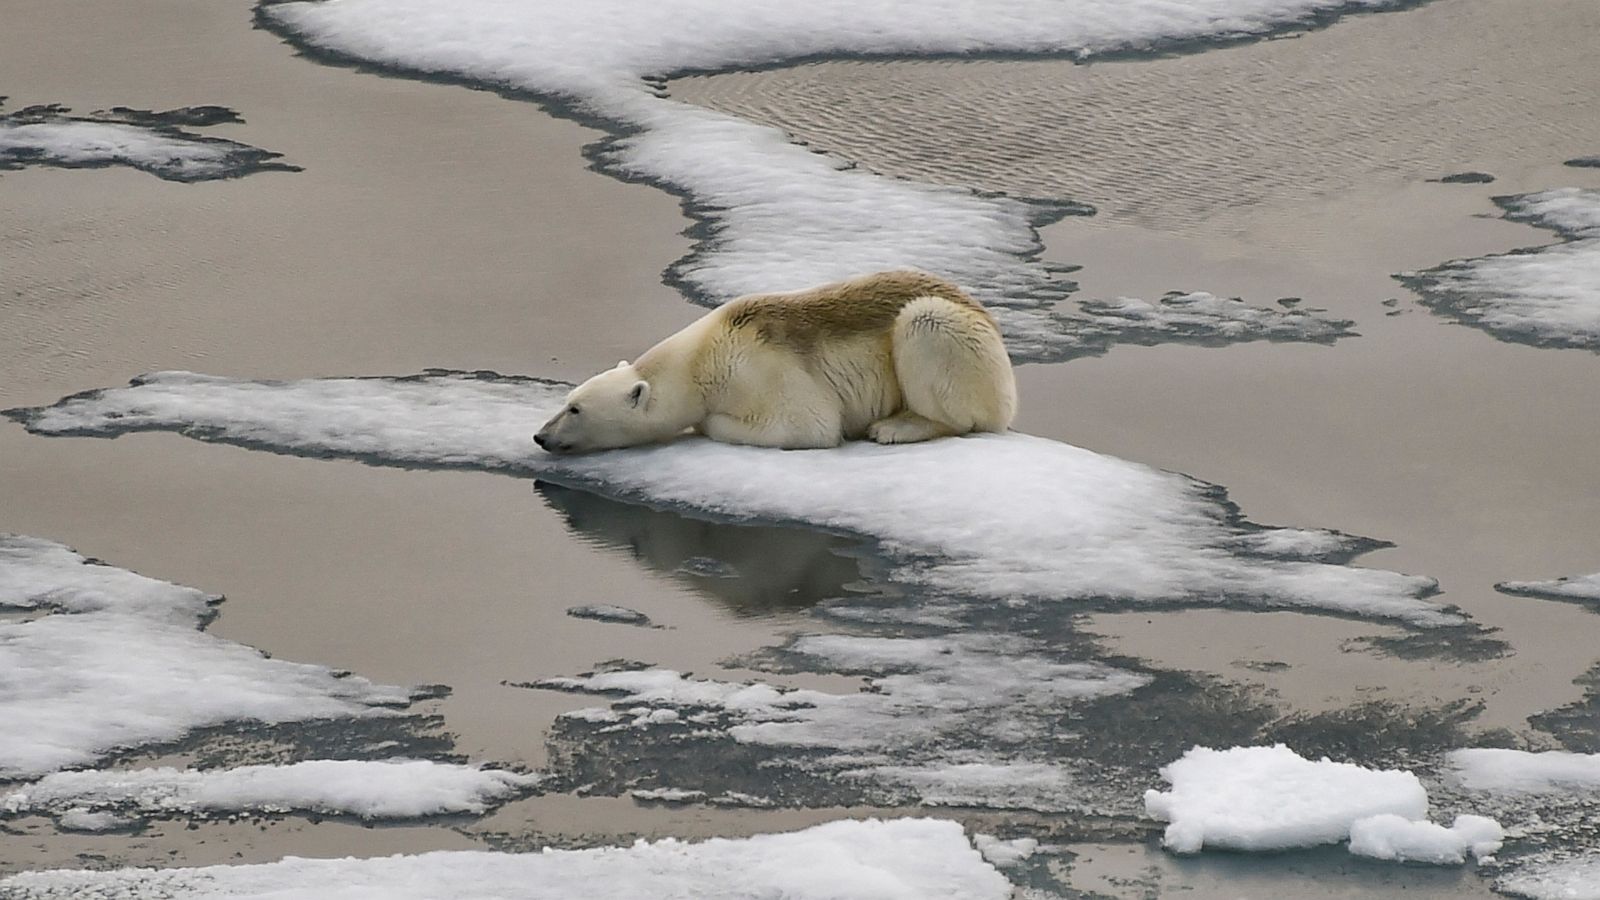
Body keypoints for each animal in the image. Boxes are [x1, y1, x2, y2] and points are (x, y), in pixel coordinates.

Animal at [534, 270, 1017, 453]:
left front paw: (708, 424)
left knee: (926, 327)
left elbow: (808, 425)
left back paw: (896, 427)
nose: (540, 436)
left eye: (575, 409)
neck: (703, 356)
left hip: (960, 341)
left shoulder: (761, 367)